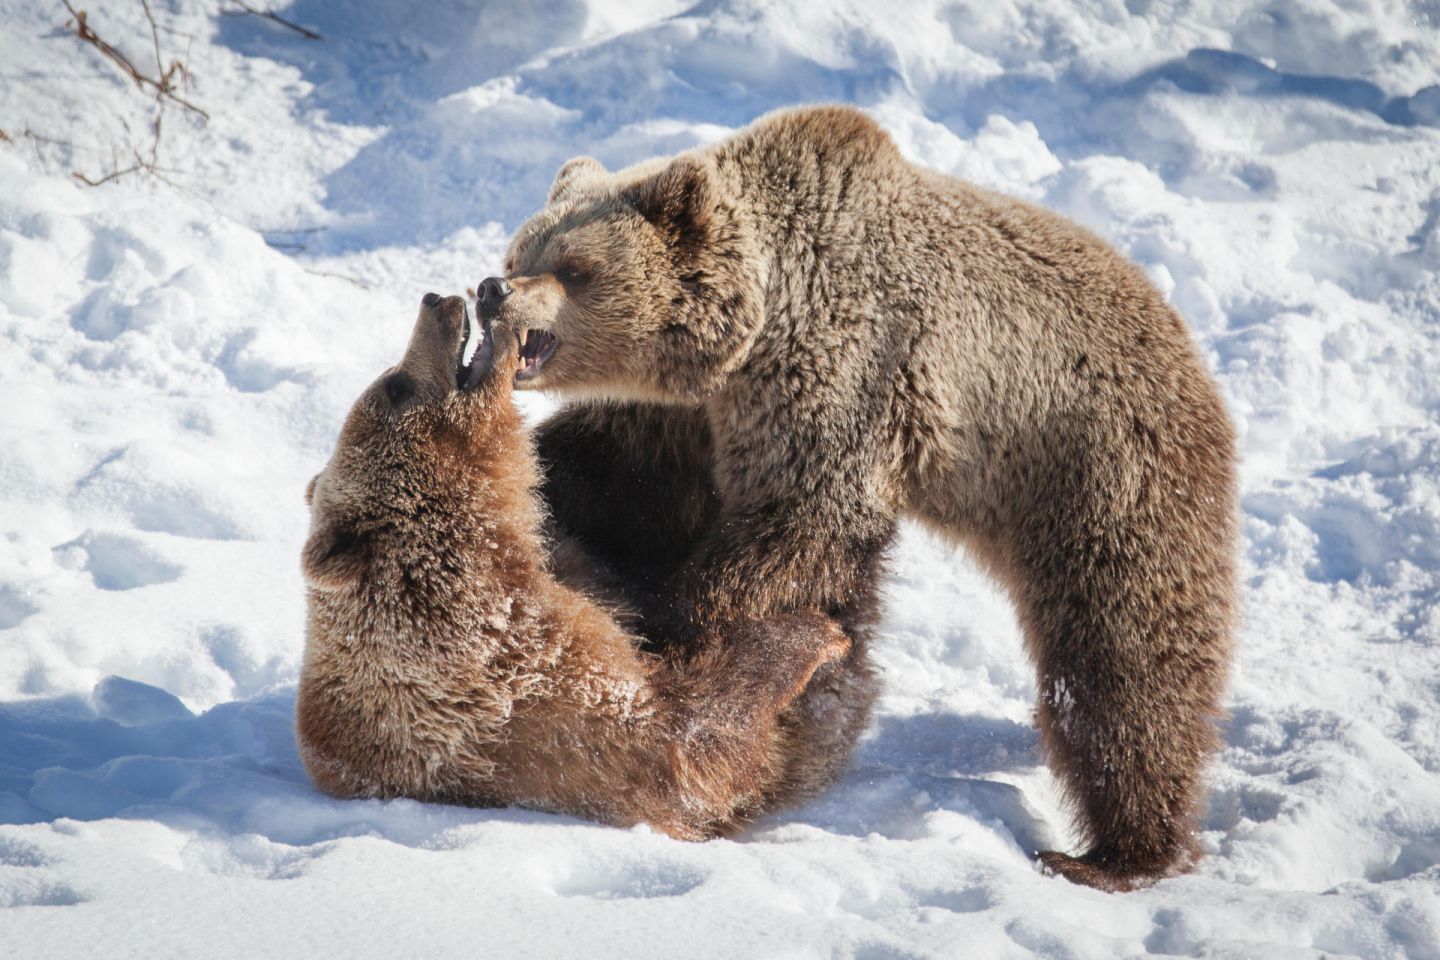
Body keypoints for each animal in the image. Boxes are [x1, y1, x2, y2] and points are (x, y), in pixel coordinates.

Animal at [475, 105, 1238, 892]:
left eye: (575, 268)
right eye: (520, 250)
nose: (491, 290)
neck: (765, 323)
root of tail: (1184, 342)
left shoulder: (844, 373)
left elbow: (796, 527)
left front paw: (697, 617)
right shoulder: (694, 417)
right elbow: (612, 474)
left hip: (1095, 462)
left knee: (1122, 650)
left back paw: (1116, 851)